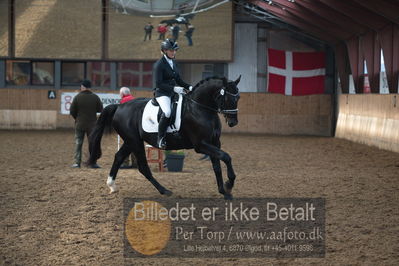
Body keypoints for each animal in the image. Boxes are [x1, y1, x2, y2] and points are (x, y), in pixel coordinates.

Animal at [88, 76, 241, 198]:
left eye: (238, 97)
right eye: (227, 97)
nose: (233, 123)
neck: (199, 109)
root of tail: (119, 107)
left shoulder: (214, 143)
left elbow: (217, 165)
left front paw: (224, 191)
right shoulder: (201, 145)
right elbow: (226, 157)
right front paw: (229, 184)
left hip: (131, 141)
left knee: (119, 157)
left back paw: (112, 185)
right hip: (135, 142)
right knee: (143, 167)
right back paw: (164, 190)